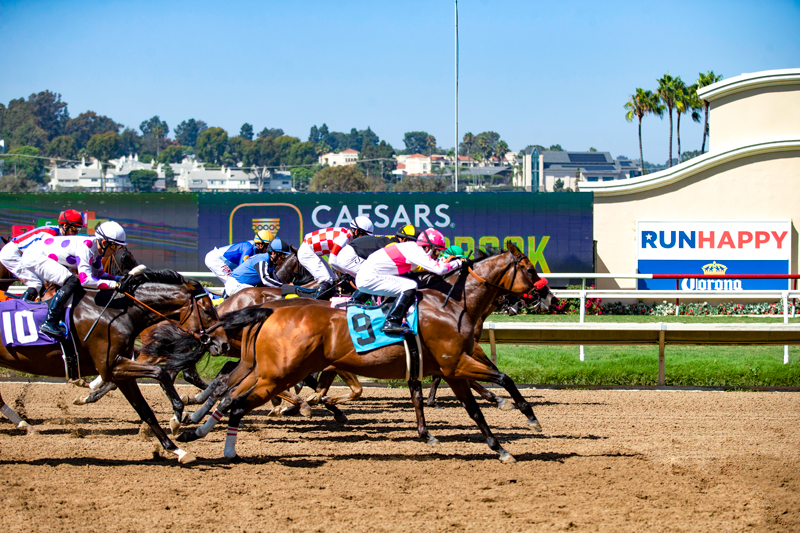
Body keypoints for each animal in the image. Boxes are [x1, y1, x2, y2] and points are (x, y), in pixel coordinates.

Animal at [0, 270, 233, 462]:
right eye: (207, 310)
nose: (224, 343)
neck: (119, 313)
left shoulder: (119, 370)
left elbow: (145, 410)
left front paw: (177, 449)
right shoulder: (111, 367)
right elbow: (161, 373)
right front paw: (176, 417)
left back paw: (24, 424)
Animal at [180, 244, 556, 462]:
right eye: (529, 269)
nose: (549, 297)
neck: (451, 304)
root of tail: (270, 310)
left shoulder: (450, 366)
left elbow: (470, 407)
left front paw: (497, 445)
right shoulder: (456, 363)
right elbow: (502, 378)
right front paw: (528, 416)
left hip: (266, 368)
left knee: (230, 390)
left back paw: (198, 425)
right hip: (280, 372)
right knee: (236, 398)